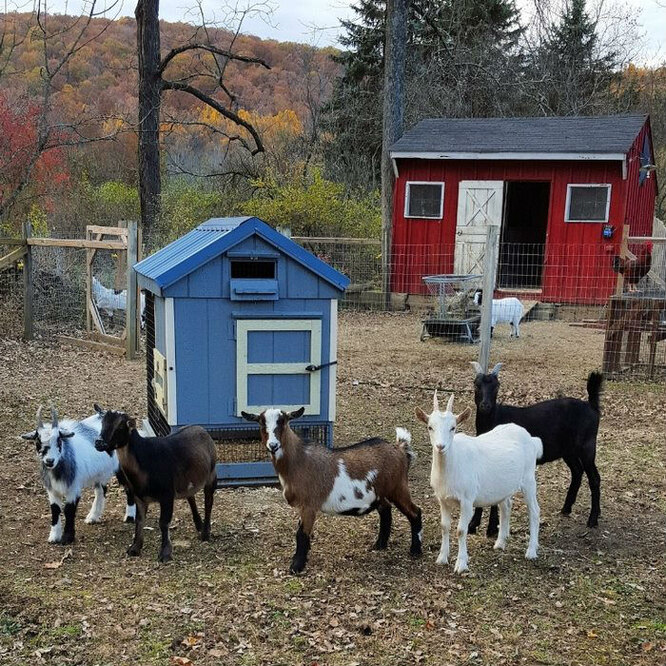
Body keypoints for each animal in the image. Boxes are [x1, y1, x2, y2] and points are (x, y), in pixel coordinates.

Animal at [20, 402, 136, 544]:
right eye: (38, 441)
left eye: (59, 440)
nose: (49, 461)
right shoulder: (52, 490)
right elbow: (55, 509)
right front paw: (54, 536)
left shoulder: (73, 488)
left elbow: (69, 509)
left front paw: (67, 538)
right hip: (99, 473)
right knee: (101, 490)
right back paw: (93, 516)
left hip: (121, 467)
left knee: (129, 488)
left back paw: (130, 517)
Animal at [93, 404, 217, 560]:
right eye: (103, 424)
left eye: (120, 427)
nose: (99, 443)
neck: (145, 459)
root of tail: (200, 428)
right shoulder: (139, 497)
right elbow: (140, 521)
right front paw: (134, 548)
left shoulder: (167, 495)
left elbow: (163, 522)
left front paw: (165, 553)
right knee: (191, 497)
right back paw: (199, 525)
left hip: (211, 475)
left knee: (208, 501)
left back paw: (205, 533)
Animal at [240, 404, 420, 572]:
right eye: (261, 423)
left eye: (283, 422)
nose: (273, 445)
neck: (299, 460)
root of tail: (400, 449)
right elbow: (302, 532)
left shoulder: (309, 505)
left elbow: (301, 534)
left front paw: (296, 566)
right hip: (379, 494)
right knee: (386, 510)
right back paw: (380, 545)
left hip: (398, 487)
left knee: (415, 512)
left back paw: (415, 551)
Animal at [416, 392, 540, 572]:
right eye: (430, 427)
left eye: (453, 427)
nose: (440, 446)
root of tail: (530, 438)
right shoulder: (442, 500)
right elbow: (444, 526)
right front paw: (442, 558)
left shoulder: (467, 500)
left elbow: (461, 530)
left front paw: (461, 564)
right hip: (503, 486)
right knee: (506, 506)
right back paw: (500, 542)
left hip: (529, 479)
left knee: (534, 511)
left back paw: (531, 551)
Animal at [466, 360, 600, 532]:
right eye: (476, 385)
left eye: (497, 386)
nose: (485, 405)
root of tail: (592, 407)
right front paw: (474, 524)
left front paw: (491, 528)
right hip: (568, 451)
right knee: (577, 471)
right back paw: (566, 508)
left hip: (587, 447)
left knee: (594, 478)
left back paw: (593, 519)